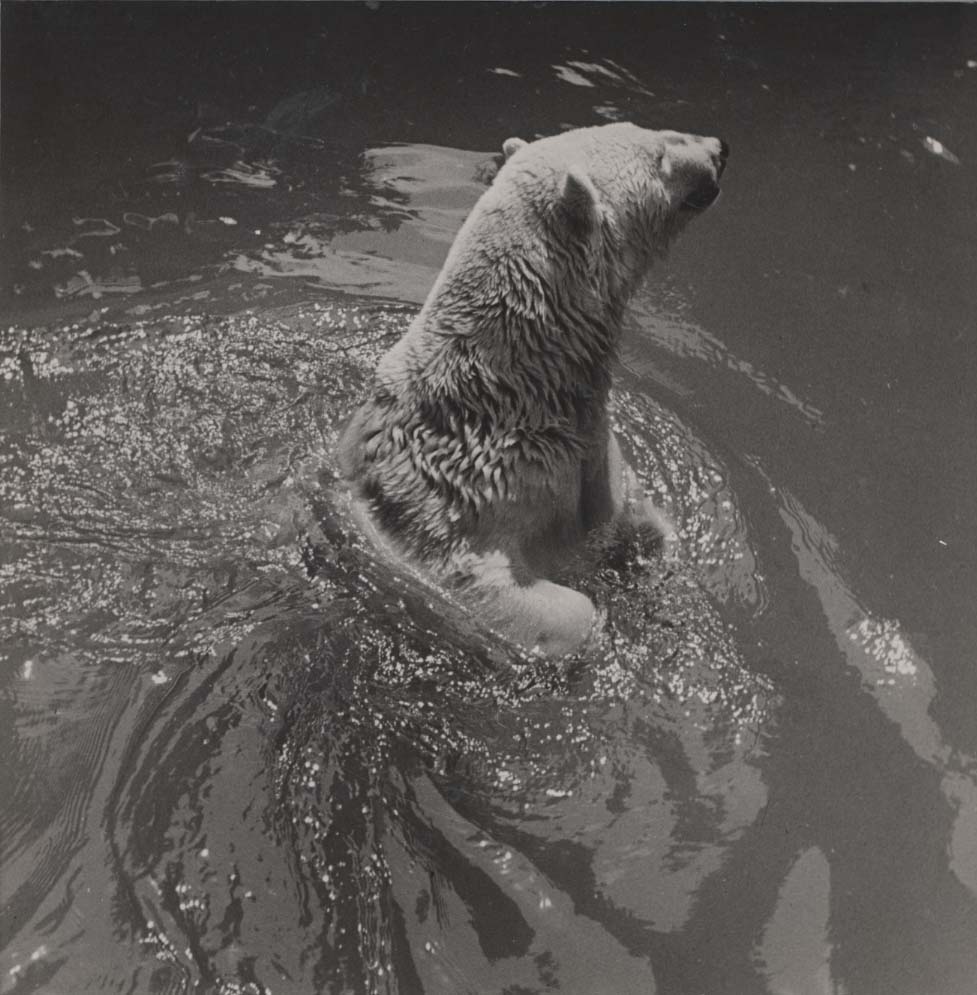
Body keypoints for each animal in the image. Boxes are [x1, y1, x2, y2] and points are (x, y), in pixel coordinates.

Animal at [338, 123, 728, 655]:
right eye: (659, 155)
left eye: (647, 129)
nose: (718, 149)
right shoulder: (460, 526)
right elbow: (552, 606)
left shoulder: (592, 455)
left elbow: (633, 512)